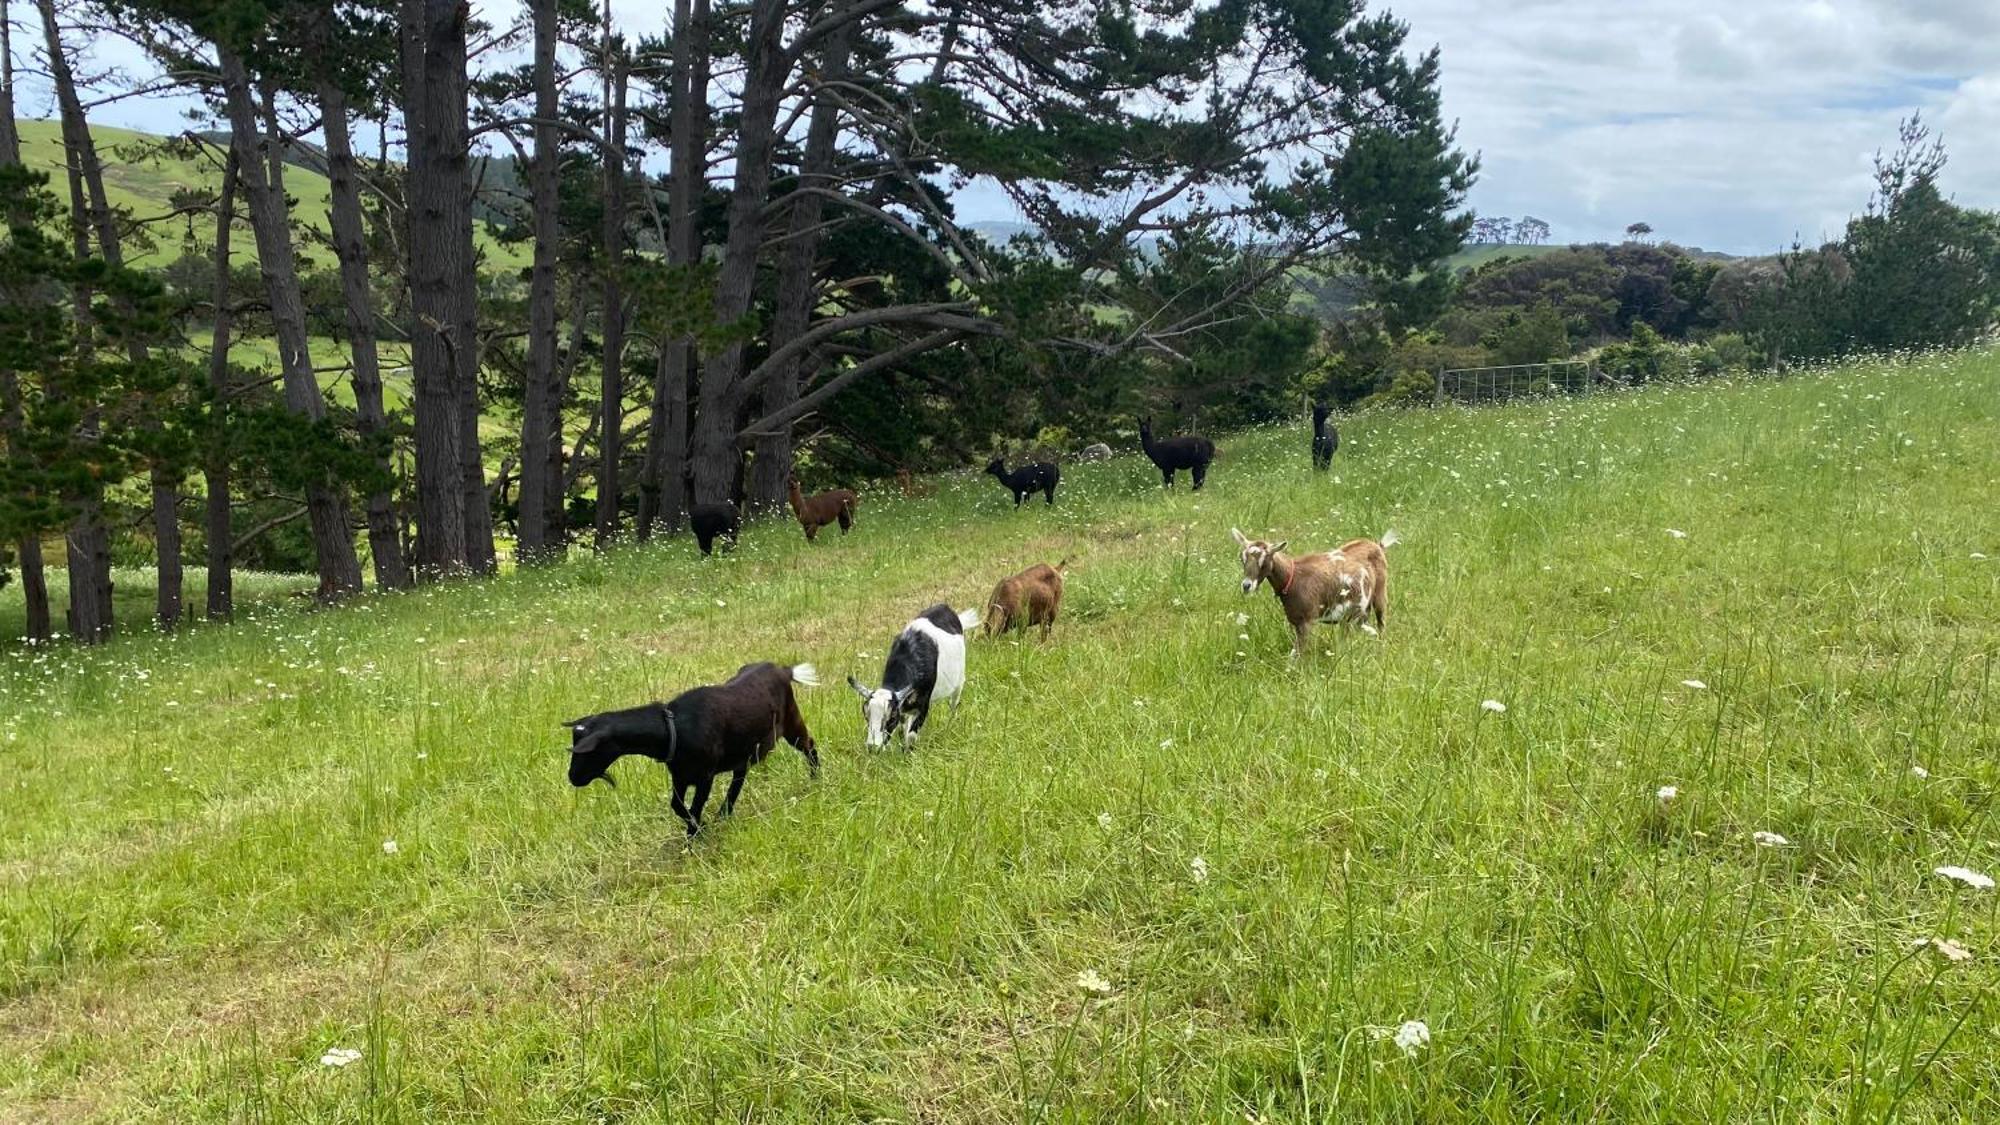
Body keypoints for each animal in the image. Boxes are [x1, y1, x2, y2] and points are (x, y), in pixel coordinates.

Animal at [564, 656, 820, 832]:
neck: (673, 727)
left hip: (791, 722)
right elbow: (677, 805)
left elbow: (695, 807)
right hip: (745, 749)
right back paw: (724, 813)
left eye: (589, 752)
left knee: (809, 744)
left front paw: (695, 834)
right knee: (740, 775)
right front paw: (698, 828)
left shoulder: (705, 776)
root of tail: (783, 670)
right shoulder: (680, 775)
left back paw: (816, 778)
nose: (573, 778)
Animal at [844, 600, 976, 748]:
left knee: (954, 704)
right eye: (866, 715)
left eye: (891, 718)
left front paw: (909, 751)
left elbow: (911, 735)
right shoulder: (903, 707)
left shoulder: (924, 704)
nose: (873, 747)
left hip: (959, 682)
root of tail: (945, 608)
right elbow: (903, 731)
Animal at [1224, 524, 1400, 656]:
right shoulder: (1297, 622)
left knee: (1382, 624)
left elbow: (1298, 655)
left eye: (1265, 560)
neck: (1293, 577)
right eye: (1242, 558)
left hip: (1380, 595)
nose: (1246, 585)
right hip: (1357, 612)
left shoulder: (1307, 621)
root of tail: (1377, 545)